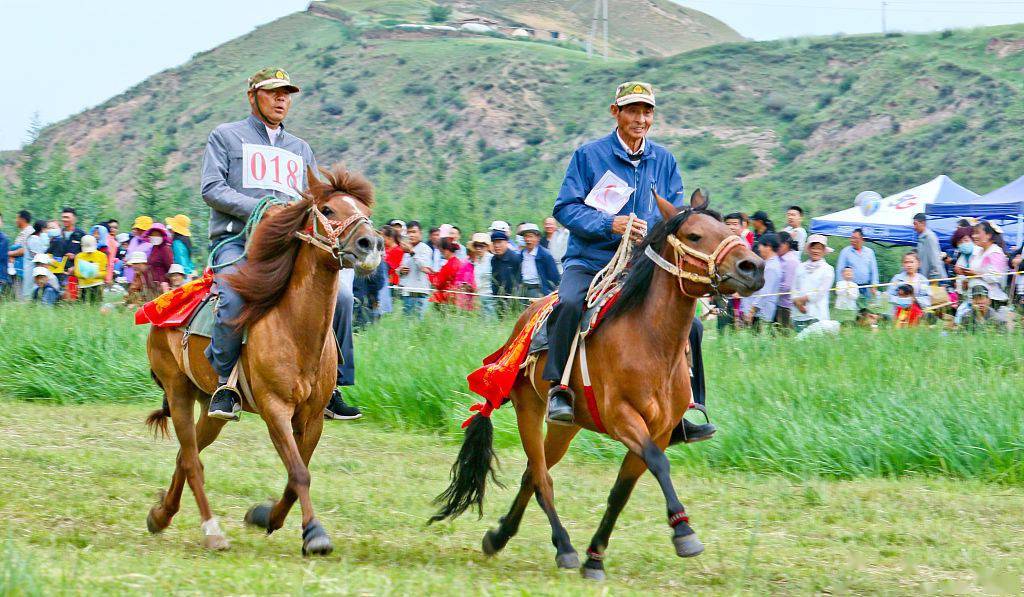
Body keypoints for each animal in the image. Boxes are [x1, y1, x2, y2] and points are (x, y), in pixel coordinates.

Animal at [142, 164, 382, 557]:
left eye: (365, 211)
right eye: (327, 209)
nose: (371, 244)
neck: (295, 329)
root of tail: (162, 304)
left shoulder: (313, 418)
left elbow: (295, 475)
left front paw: (265, 516)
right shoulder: (275, 410)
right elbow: (299, 472)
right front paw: (315, 533)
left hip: (210, 409)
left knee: (184, 455)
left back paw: (161, 514)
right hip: (178, 392)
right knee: (191, 460)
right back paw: (212, 531)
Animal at [430, 190, 761, 577]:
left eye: (730, 229)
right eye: (694, 235)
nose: (753, 267)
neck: (650, 341)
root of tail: (526, 317)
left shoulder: (661, 429)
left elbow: (622, 491)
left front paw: (596, 557)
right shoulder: (622, 418)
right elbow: (658, 464)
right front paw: (683, 531)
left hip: (566, 426)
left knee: (531, 474)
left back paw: (500, 536)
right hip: (529, 409)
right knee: (541, 478)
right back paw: (563, 546)